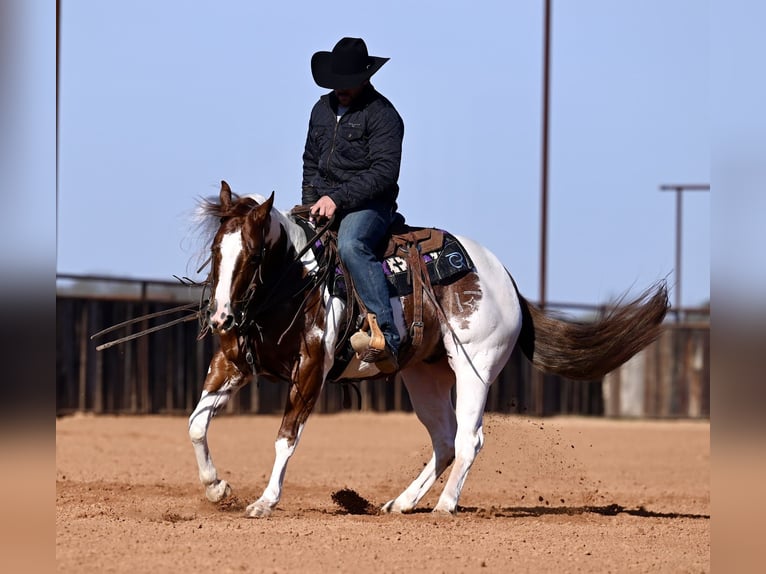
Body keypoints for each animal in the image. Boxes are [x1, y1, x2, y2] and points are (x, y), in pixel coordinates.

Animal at [188, 180, 668, 518]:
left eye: (252, 254)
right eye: (216, 249)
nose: (221, 317)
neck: (295, 285)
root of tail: (504, 278)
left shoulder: (310, 370)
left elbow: (286, 438)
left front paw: (264, 501)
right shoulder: (231, 363)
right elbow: (196, 424)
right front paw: (216, 488)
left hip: (475, 369)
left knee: (468, 438)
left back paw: (445, 505)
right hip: (424, 375)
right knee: (444, 439)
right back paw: (401, 503)